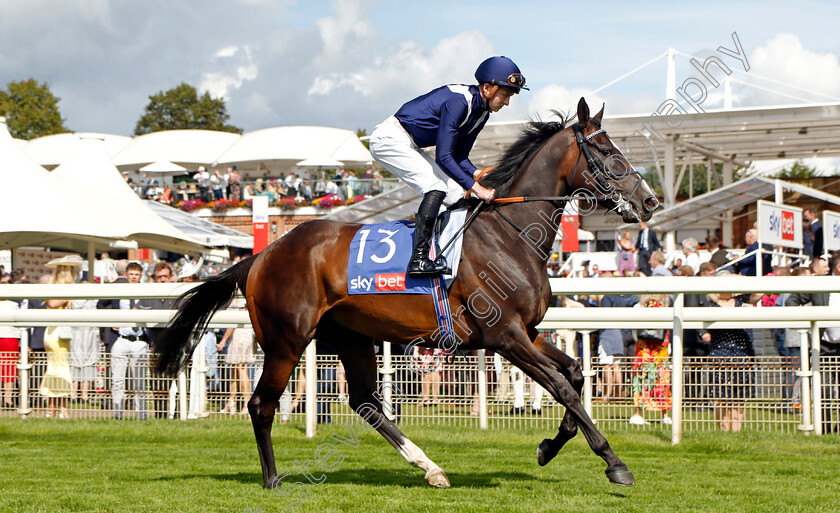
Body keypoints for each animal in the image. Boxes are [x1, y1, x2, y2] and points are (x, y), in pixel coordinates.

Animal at [156, 99, 656, 488]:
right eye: (607, 152)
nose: (649, 201)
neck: (509, 234)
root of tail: (260, 256)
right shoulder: (505, 336)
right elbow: (562, 387)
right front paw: (614, 463)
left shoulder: (526, 332)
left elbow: (574, 374)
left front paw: (549, 446)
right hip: (286, 340)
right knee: (261, 405)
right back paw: (273, 479)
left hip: (351, 336)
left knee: (364, 401)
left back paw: (430, 467)